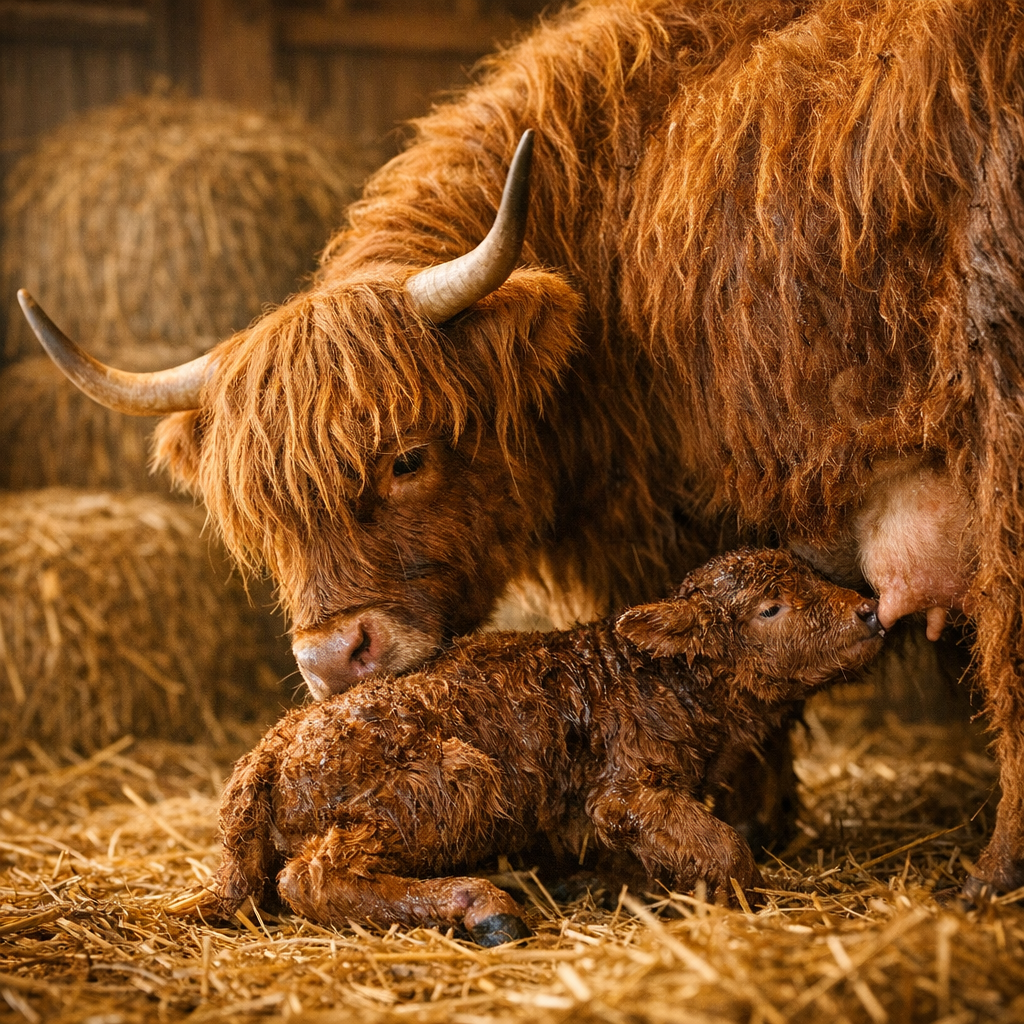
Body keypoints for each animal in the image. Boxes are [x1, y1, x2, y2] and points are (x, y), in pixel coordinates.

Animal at [16, 0, 1024, 898]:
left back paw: (992, 871)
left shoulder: (667, 523)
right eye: (256, 515)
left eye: (407, 457)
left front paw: (744, 818)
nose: (334, 661)